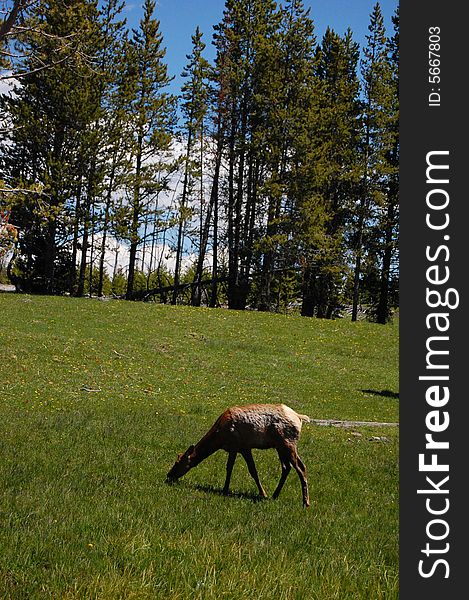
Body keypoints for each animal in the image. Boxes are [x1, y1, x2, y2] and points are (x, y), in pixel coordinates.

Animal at [165, 404, 310, 506]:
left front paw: (227, 490)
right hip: (280, 446)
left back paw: (305, 502)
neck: (220, 437)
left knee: (301, 467)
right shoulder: (239, 448)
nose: (168, 475)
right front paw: (262, 494)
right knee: (287, 467)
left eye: (178, 463)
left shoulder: (239, 445)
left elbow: (239, 469)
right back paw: (275, 495)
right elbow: (242, 469)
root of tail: (299, 417)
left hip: (288, 443)